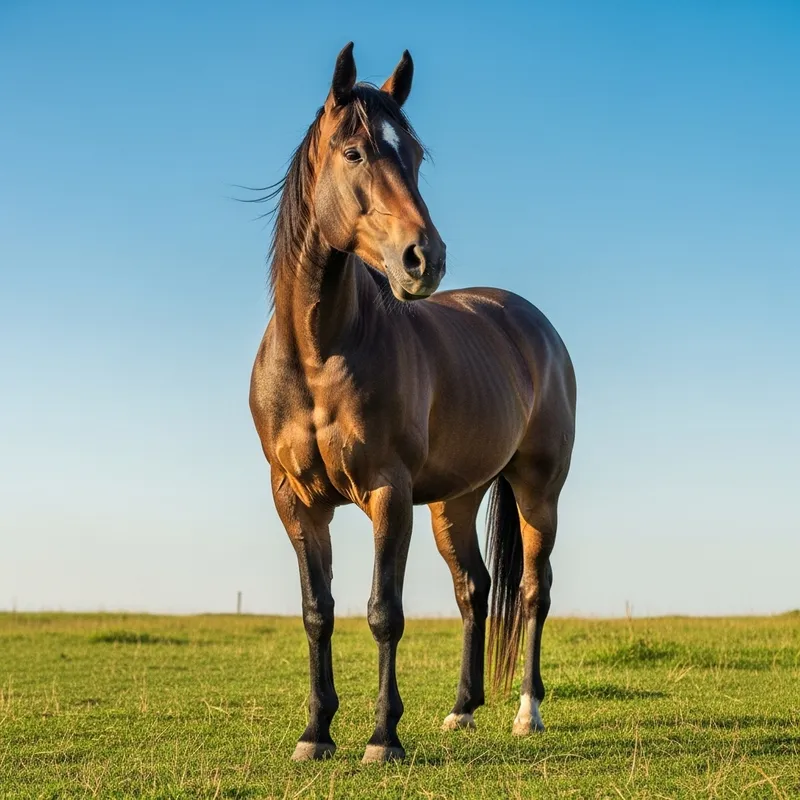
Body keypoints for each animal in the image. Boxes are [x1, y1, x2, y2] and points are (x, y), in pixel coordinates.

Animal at [249, 43, 576, 763]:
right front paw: (316, 734)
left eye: (417, 155)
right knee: (473, 589)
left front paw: (383, 738)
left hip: (537, 490)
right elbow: (317, 612)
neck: (319, 352)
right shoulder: (296, 499)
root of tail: (532, 324)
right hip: (454, 501)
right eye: (354, 152)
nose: (424, 258)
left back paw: (527, 712)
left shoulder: (386, 492)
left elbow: (383, 611)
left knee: (533, 592)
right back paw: (462, 710)